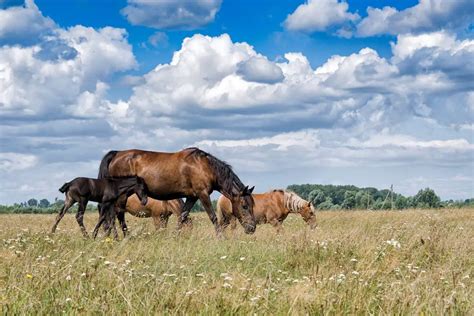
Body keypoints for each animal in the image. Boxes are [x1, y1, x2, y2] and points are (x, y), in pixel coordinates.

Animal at [97, 146, 258, 235]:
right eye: (244, 206)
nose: (252, 228)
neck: (205, 166)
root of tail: (116, 154)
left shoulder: (192, 197)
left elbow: (182, 217)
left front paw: (174, 236)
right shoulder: (202, 194)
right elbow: (213, 217)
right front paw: (221, 238)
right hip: (121, 195)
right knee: (116, 215)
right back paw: (123, 236)